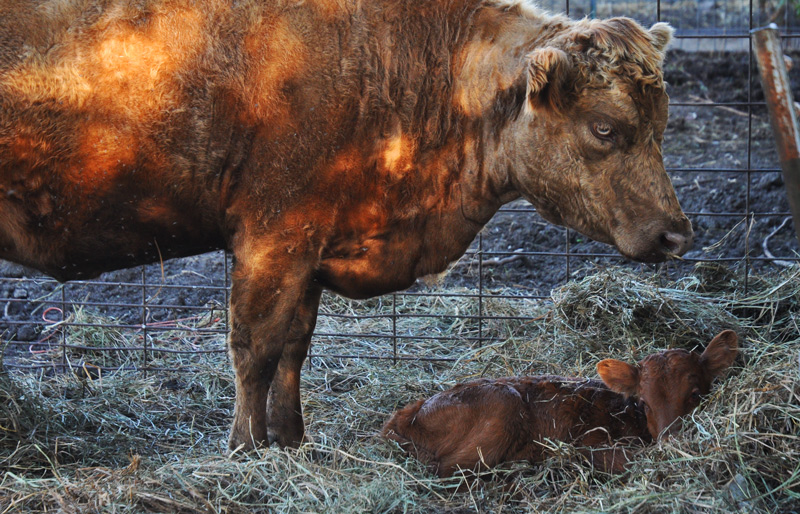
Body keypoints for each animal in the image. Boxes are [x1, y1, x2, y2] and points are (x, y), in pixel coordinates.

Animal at [0, 0, 693, 451]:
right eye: (604, 127)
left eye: (662, 125)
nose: (676, 235)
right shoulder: (271, 241)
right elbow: (254, 349)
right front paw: (244, 447)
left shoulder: (307, 252)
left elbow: (293, 348)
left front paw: (291, 440)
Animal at [382, 330, 739, 477]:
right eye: (644, 403)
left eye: (695, 394)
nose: (671, 443)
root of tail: (404, 414)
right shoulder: (591, 443)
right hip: (502, 403)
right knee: (447, 470)